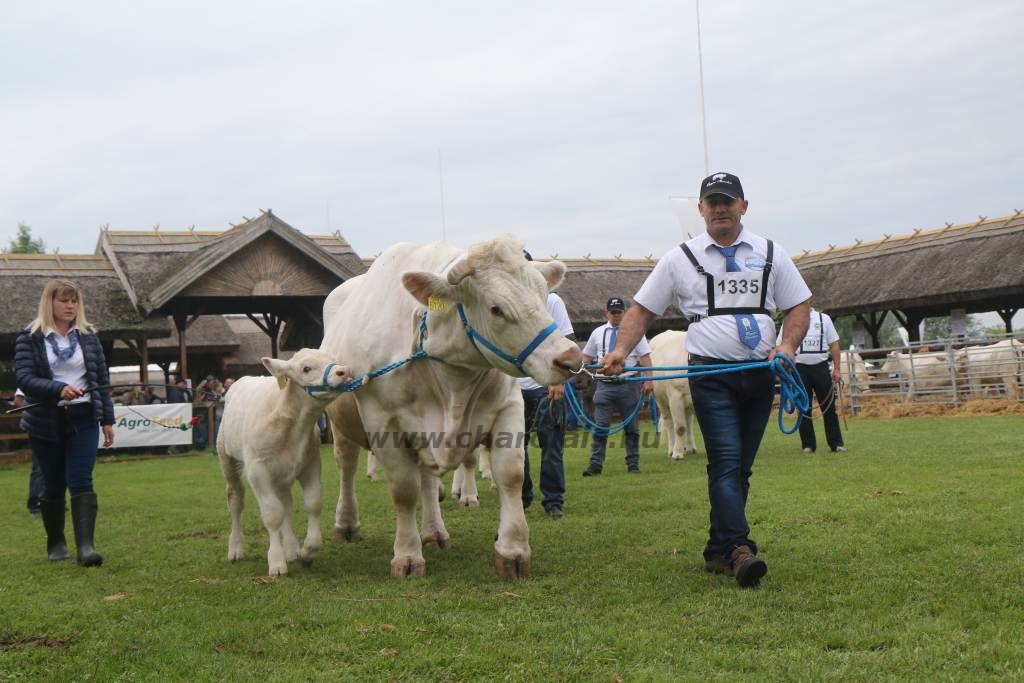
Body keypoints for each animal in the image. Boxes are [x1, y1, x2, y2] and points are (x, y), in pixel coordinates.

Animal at [216, 350, 352, 581]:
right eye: (306, 368)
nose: (344, 371)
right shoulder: (258, 471)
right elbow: (272, 514)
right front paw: (277, 563)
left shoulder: (310, 464)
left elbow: (313, 503)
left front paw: (308, 551)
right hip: (227, 458)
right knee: (235, 501)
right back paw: (236, 548)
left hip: (281, 474)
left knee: (286, 504)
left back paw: (292, 549)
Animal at [319, 235, 581, 577]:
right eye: (496, 309)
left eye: (542, 293)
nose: (570, 358)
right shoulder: (383, 423)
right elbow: (404, 490)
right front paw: (407, 555)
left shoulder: (508, 408)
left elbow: (510, 474)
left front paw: (513, 550)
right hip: (341, 424)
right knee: (347, 467)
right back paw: (347, 525)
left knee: (428, 481)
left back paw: (434, 532)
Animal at [651, 329, 700, 458]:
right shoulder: (675, 397)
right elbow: (679, 427)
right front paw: (677, 453)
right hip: (661, 401)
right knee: (669, 423)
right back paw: (671, 449)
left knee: (689, 422)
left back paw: (691, 448)